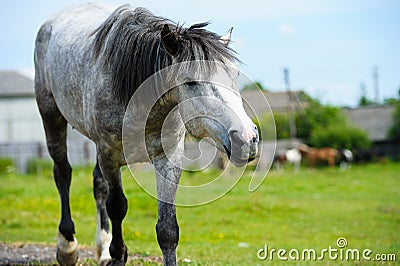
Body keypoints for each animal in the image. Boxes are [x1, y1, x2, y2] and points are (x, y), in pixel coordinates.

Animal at [33, 2, 260, 266]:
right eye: (190, 82)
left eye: (234, 75)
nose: (247, 138)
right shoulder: (109, 153)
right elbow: (117, 206)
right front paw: (118, 255)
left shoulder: (168, 157)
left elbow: (168, 229)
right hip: (51, 116)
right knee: (63, 174)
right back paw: (68, 248)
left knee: (98, 184)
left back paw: (102, 248)